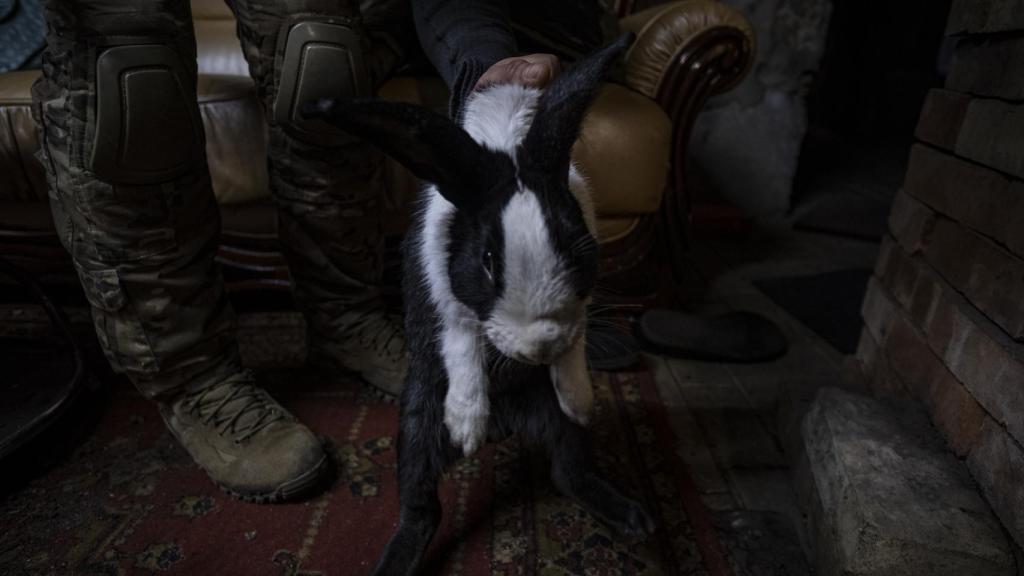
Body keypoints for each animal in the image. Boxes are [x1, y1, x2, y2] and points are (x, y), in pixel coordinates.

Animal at [305, 32, 655, 573]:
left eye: (576, 245)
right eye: (488, 260)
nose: (539, 349)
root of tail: (508, 425)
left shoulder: (580, 301)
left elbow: (577, 335)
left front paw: (579, 396)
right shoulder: (442, 291)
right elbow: (461, 336)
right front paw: (467, 423)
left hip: (561, 436)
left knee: (568, 470)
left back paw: (630, 515)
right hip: (417, 425)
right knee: (422, 509)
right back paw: (397, 555)